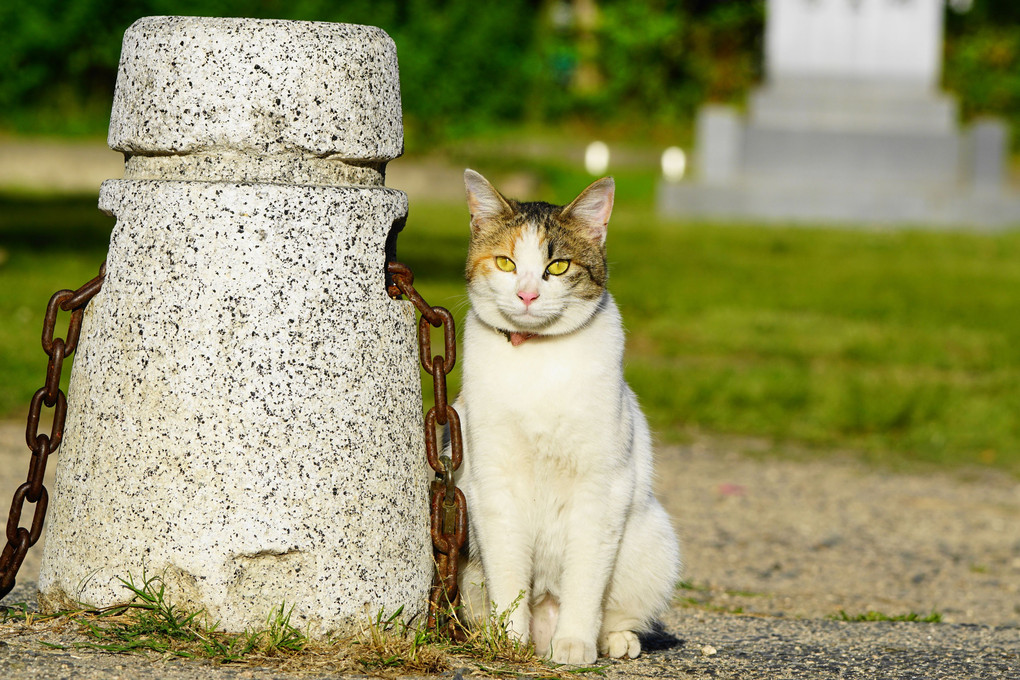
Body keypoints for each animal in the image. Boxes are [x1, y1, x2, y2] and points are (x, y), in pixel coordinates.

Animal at [452, 169, 677, 664]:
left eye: (557, 267)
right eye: (505, 263)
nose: (527, 294)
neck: (538, 357)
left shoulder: (602, 485)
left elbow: (586, 577)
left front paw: (574, 643)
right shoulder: (493, 483)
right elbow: (509, 575)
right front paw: (508, 639)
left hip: (652, 540)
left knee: (617, 609)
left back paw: (613, 639)